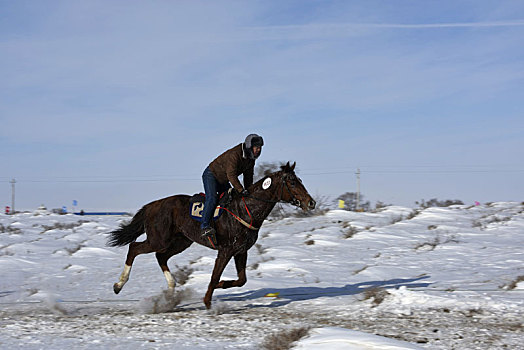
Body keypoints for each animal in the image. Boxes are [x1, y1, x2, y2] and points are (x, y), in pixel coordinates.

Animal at [106, 162, 316, 308]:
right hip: (159, 239)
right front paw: (208, 301)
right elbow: (215, 276)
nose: (311, 202)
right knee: (134, 248)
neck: (246, 209)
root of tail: (151, 206)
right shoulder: (225, 250)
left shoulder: (241, 251)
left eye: (300, 180)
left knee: (161, 257)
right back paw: (118, 285)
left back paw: (172, 289)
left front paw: (222, 285)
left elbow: (241, 280)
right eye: (292, 182)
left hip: (181, 241)